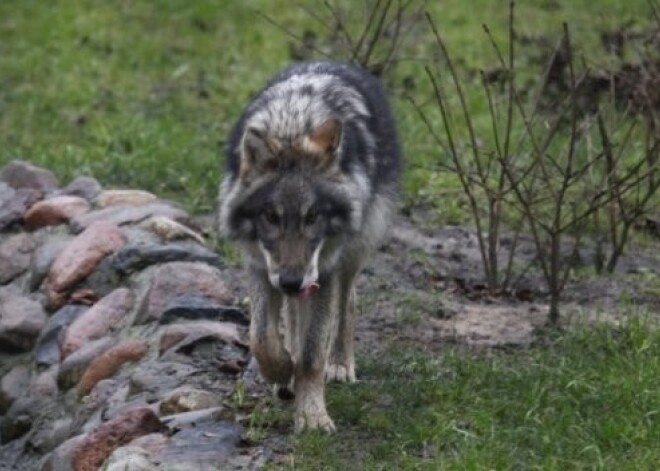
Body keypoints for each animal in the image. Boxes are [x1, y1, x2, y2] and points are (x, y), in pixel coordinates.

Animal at [219, 60, 400, 434]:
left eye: (313, 216)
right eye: (270, 216)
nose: (291, 281)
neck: (292, 125)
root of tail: (335, 63)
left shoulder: (324, 272)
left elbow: (313, 353)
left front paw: (313, 415)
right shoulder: (259, 266)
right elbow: (261, 337)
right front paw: (282, 370)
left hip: (352, 252)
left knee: (348, 302)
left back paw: (340, 364)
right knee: (291, 318)